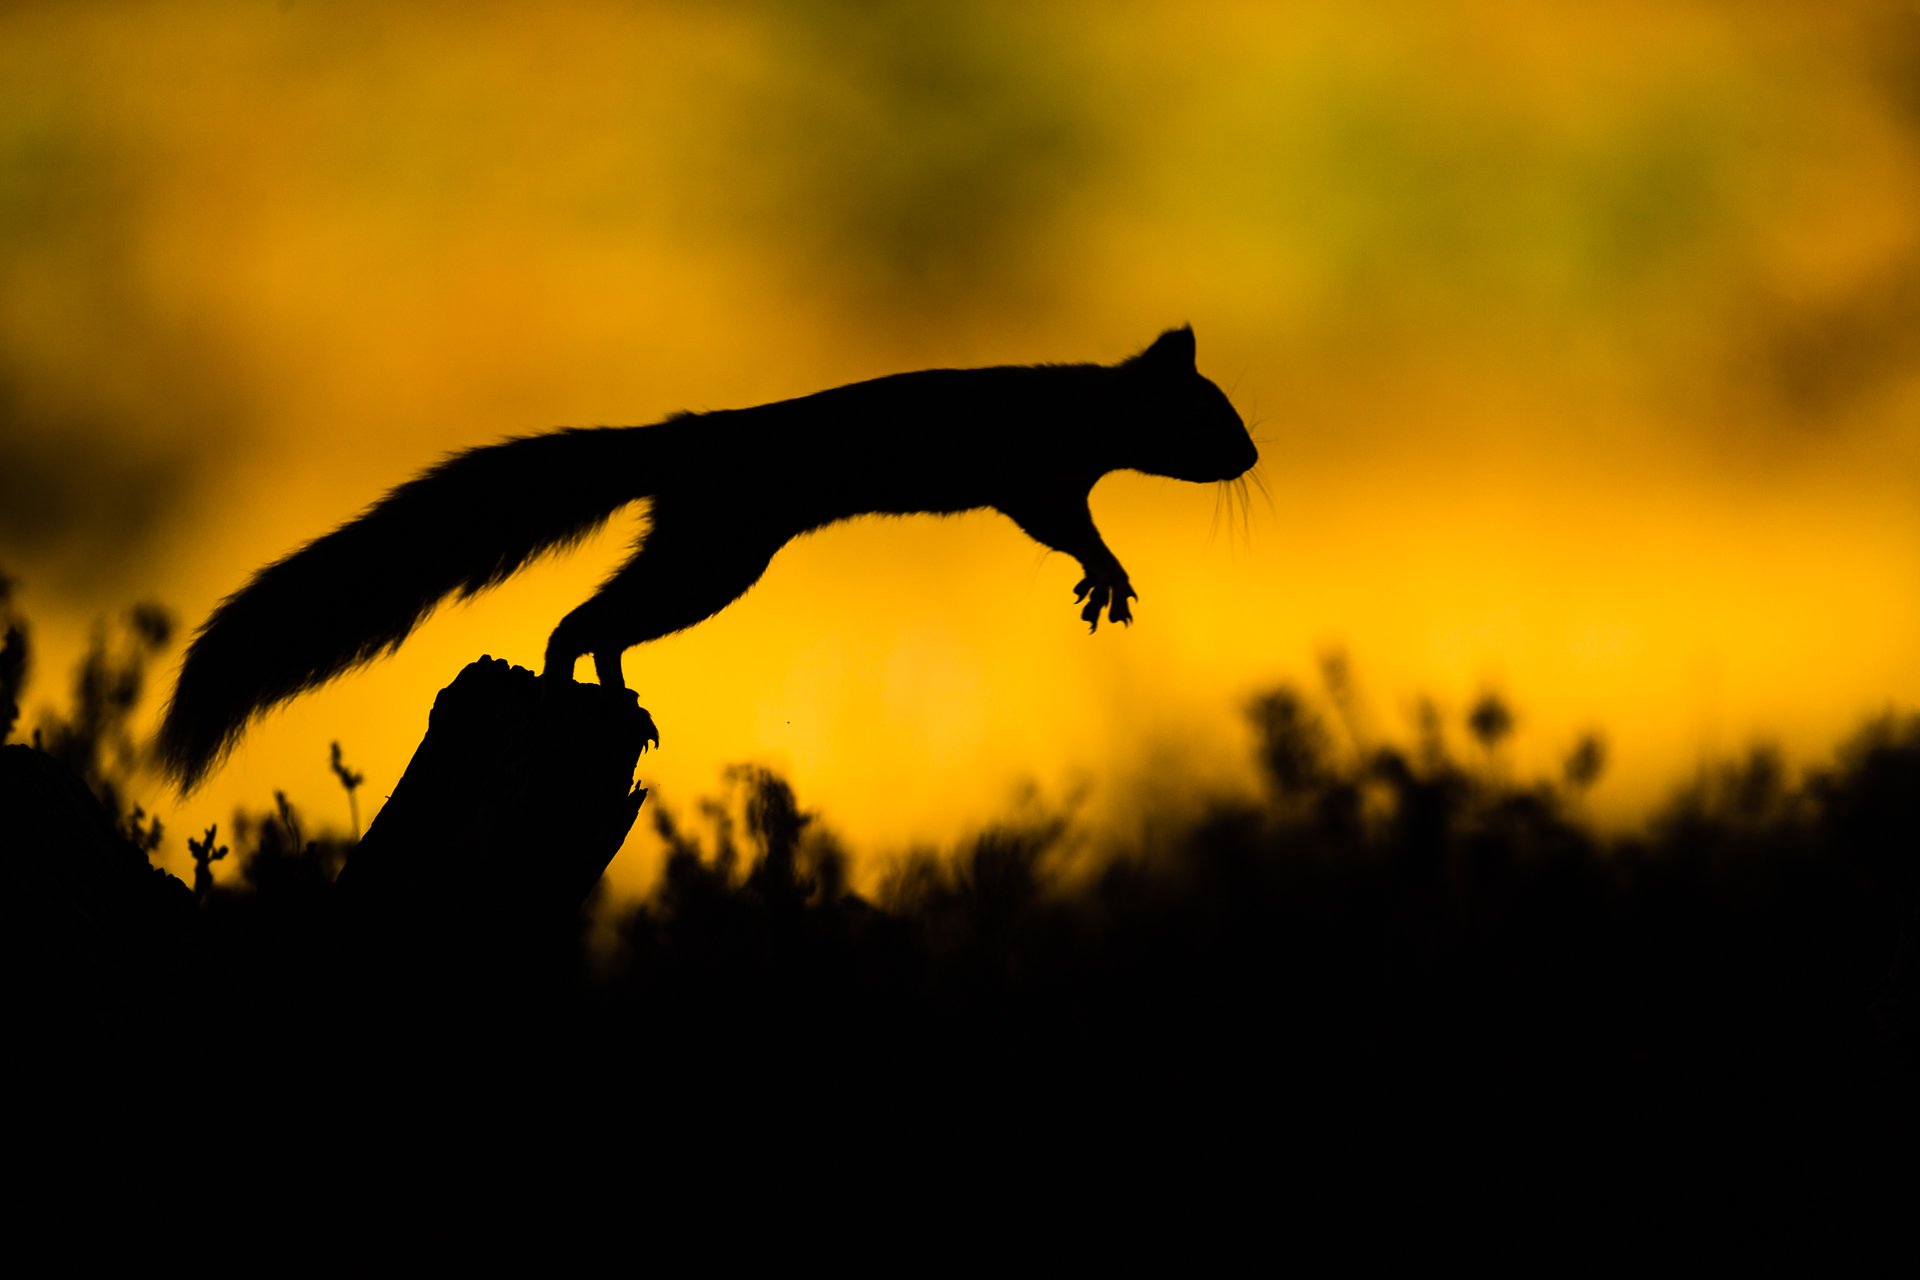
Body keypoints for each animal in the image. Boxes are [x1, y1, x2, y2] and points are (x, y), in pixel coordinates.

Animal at [156, 325, 1258, 791]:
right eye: (1215, 418)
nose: (1252, 456)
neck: (1082, 399)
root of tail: (684, 435)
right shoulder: (1035, 474)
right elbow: (1065, 525)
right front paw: (1107, 575)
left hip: (700, 550)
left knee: (607, 622)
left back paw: (621, 700)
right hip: (717, 552)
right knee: (583, 621)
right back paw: (575, 689)